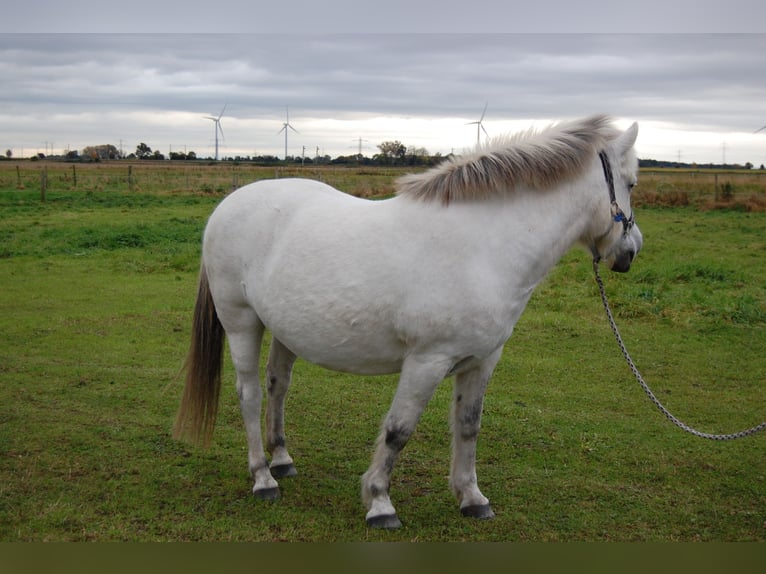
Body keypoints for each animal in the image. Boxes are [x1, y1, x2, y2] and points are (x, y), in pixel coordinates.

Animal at [174, 113, 640, 532]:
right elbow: (399, 430)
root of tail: (227, 206)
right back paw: (263, 477)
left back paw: (282, 460)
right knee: (250, 394)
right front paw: (380, 503)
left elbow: (469, 426)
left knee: (278, 385)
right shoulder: (427, 361)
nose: (631, 251)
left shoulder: (482, 360)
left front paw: (472, 498)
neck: (482, 247)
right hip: (242, 322)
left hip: (286, 329)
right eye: (632, 183)